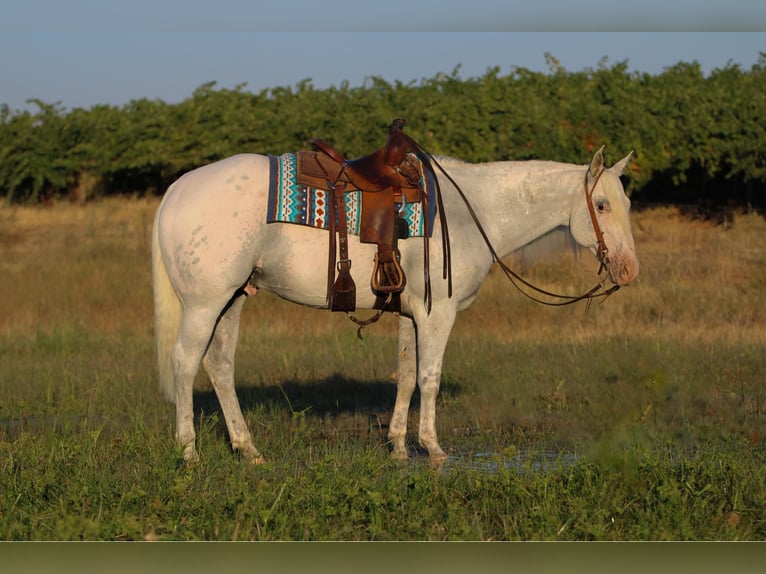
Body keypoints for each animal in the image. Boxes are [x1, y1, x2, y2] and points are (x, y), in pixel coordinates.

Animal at [153, 146, 640, 466]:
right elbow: (429, 378)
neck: (469, 213)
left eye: (627, 203)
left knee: (219, 366)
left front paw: (400, 446)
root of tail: (176, 190)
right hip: (205, 304)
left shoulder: (411, 315)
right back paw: (189, 452)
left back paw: (248, 449)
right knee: (184, 363)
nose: (630, 270)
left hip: (233, 299)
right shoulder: (437, 315)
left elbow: (406, 377)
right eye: (601, 205)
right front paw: (434, 449)